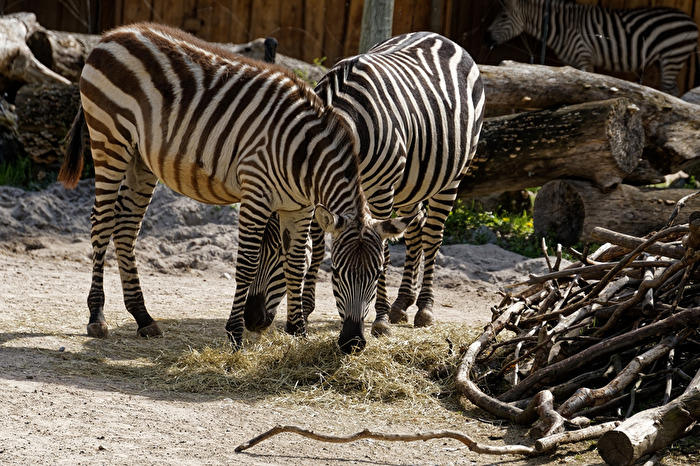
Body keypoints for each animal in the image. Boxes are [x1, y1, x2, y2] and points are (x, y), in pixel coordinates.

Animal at [57, 22, 416, 353]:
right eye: (338, 274)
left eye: (377, 273)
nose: (353, 342)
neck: (306, 155)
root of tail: (114, 34)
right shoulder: (256, 195)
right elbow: (246, 265)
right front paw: (235, 334)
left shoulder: (300, 208)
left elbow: (296, 266)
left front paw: (298, 333)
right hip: (109, 140)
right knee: (101, 223)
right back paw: (97, 317)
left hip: (140, 158)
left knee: (126, 228)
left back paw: (143, 317)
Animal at [244, 32, 485, 338]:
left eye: (278, 254)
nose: (252, 319)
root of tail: (439, 37)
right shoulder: (316, 191)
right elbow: (319, 248)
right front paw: (307, 310)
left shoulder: (381, 191)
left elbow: (383, 252)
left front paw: (380, 318)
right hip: (410, 184)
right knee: (415, 230)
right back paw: (402, 303)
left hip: (451, 176)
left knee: (432, 235)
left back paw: (424, 308)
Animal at [485, 0, 699, 95]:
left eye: (503, 17)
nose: (485, 39)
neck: (563, 27)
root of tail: (692, 21)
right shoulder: (576, 62)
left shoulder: (584, 56)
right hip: (666, 60)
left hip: (673, 56)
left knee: (671, 91)